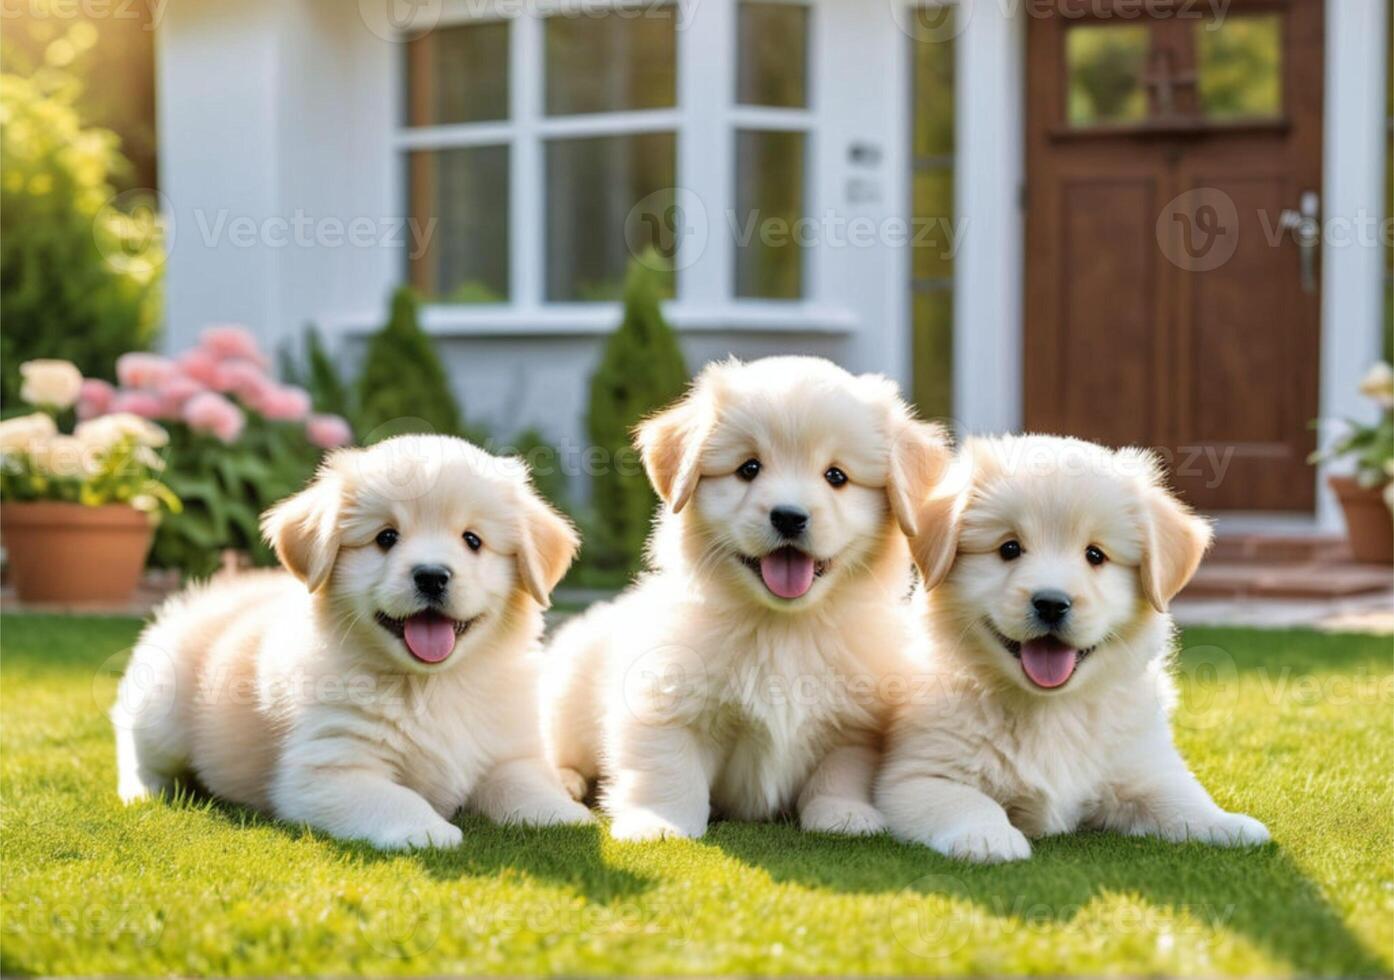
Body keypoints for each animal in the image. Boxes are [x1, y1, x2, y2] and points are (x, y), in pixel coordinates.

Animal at [110, 432, 588, 847]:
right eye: (386, 537)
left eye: (473, 540)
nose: (432, 575)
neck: (433, 686)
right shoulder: (327, 770)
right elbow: (395, 798)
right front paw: (429, 831)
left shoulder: (509, 750)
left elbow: (524, 782)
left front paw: (564, 813)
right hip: (161, 710)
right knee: (135, 752)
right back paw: (142, 793)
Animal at [540, 356, 947, 841]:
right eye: (749, 469)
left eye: (836, 477)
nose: (789, 517)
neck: (784, 627)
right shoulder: (663, 705)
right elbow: (669, 772)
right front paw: (660, 825)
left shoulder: (858, 723)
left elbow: (841, 770)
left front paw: (845, 815)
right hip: (567, 694)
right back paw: (563, 781)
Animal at [875, 432, 1271, 864]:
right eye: (1009, 549)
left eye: (1095, 555)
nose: (1051, 603)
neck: (1051, 709)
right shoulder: (915, 777)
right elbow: (968, 801)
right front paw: (988, 838)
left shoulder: (1141, 765)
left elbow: (1181, 797)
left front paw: (1228, 825)